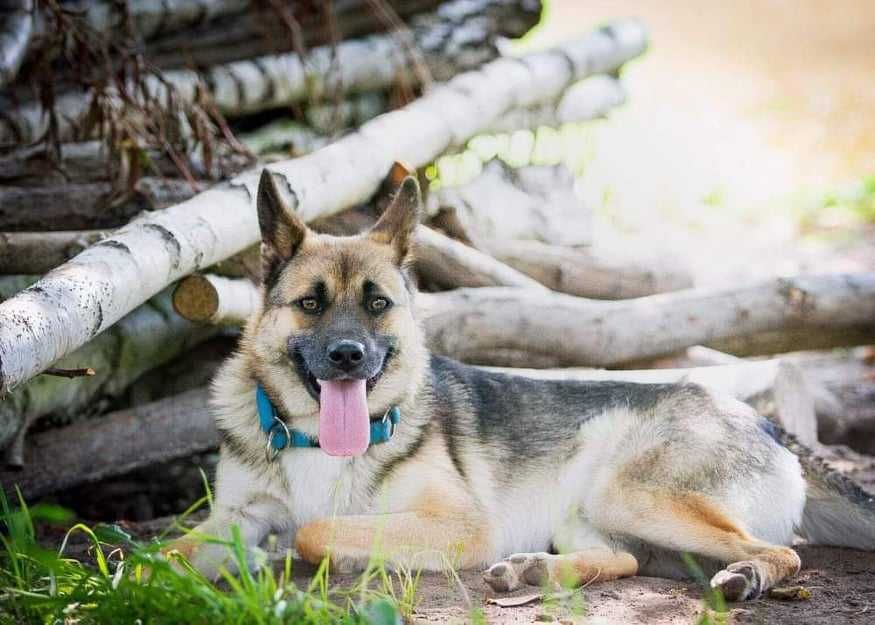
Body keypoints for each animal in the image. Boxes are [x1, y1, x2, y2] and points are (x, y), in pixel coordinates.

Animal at [171, 169, 875, 600]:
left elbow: (315, 530)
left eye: (376, 305)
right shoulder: (230, 518)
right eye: (311, 304)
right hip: (600, 516)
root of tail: (765, 421)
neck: (315, 441)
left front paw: (289, 555)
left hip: (631, 492)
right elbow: (169, 552)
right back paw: (537, 569)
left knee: (784, 554)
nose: (348, 357)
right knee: (627, 560)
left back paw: (747, 575)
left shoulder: (460, 526)